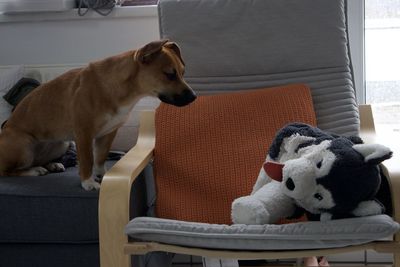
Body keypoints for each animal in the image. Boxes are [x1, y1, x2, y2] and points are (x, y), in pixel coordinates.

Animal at [0, 39, 197, 191]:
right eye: (169, 75)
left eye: (183, 72)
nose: (194, 97)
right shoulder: (84, 134)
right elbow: (87, 159)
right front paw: (88, 183)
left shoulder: (108, 133)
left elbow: (100, 157)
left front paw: (101, 175)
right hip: (24, 146)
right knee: (7, 170)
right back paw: (34, 170)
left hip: (61, 144)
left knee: (36, 160)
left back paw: (52, 164)